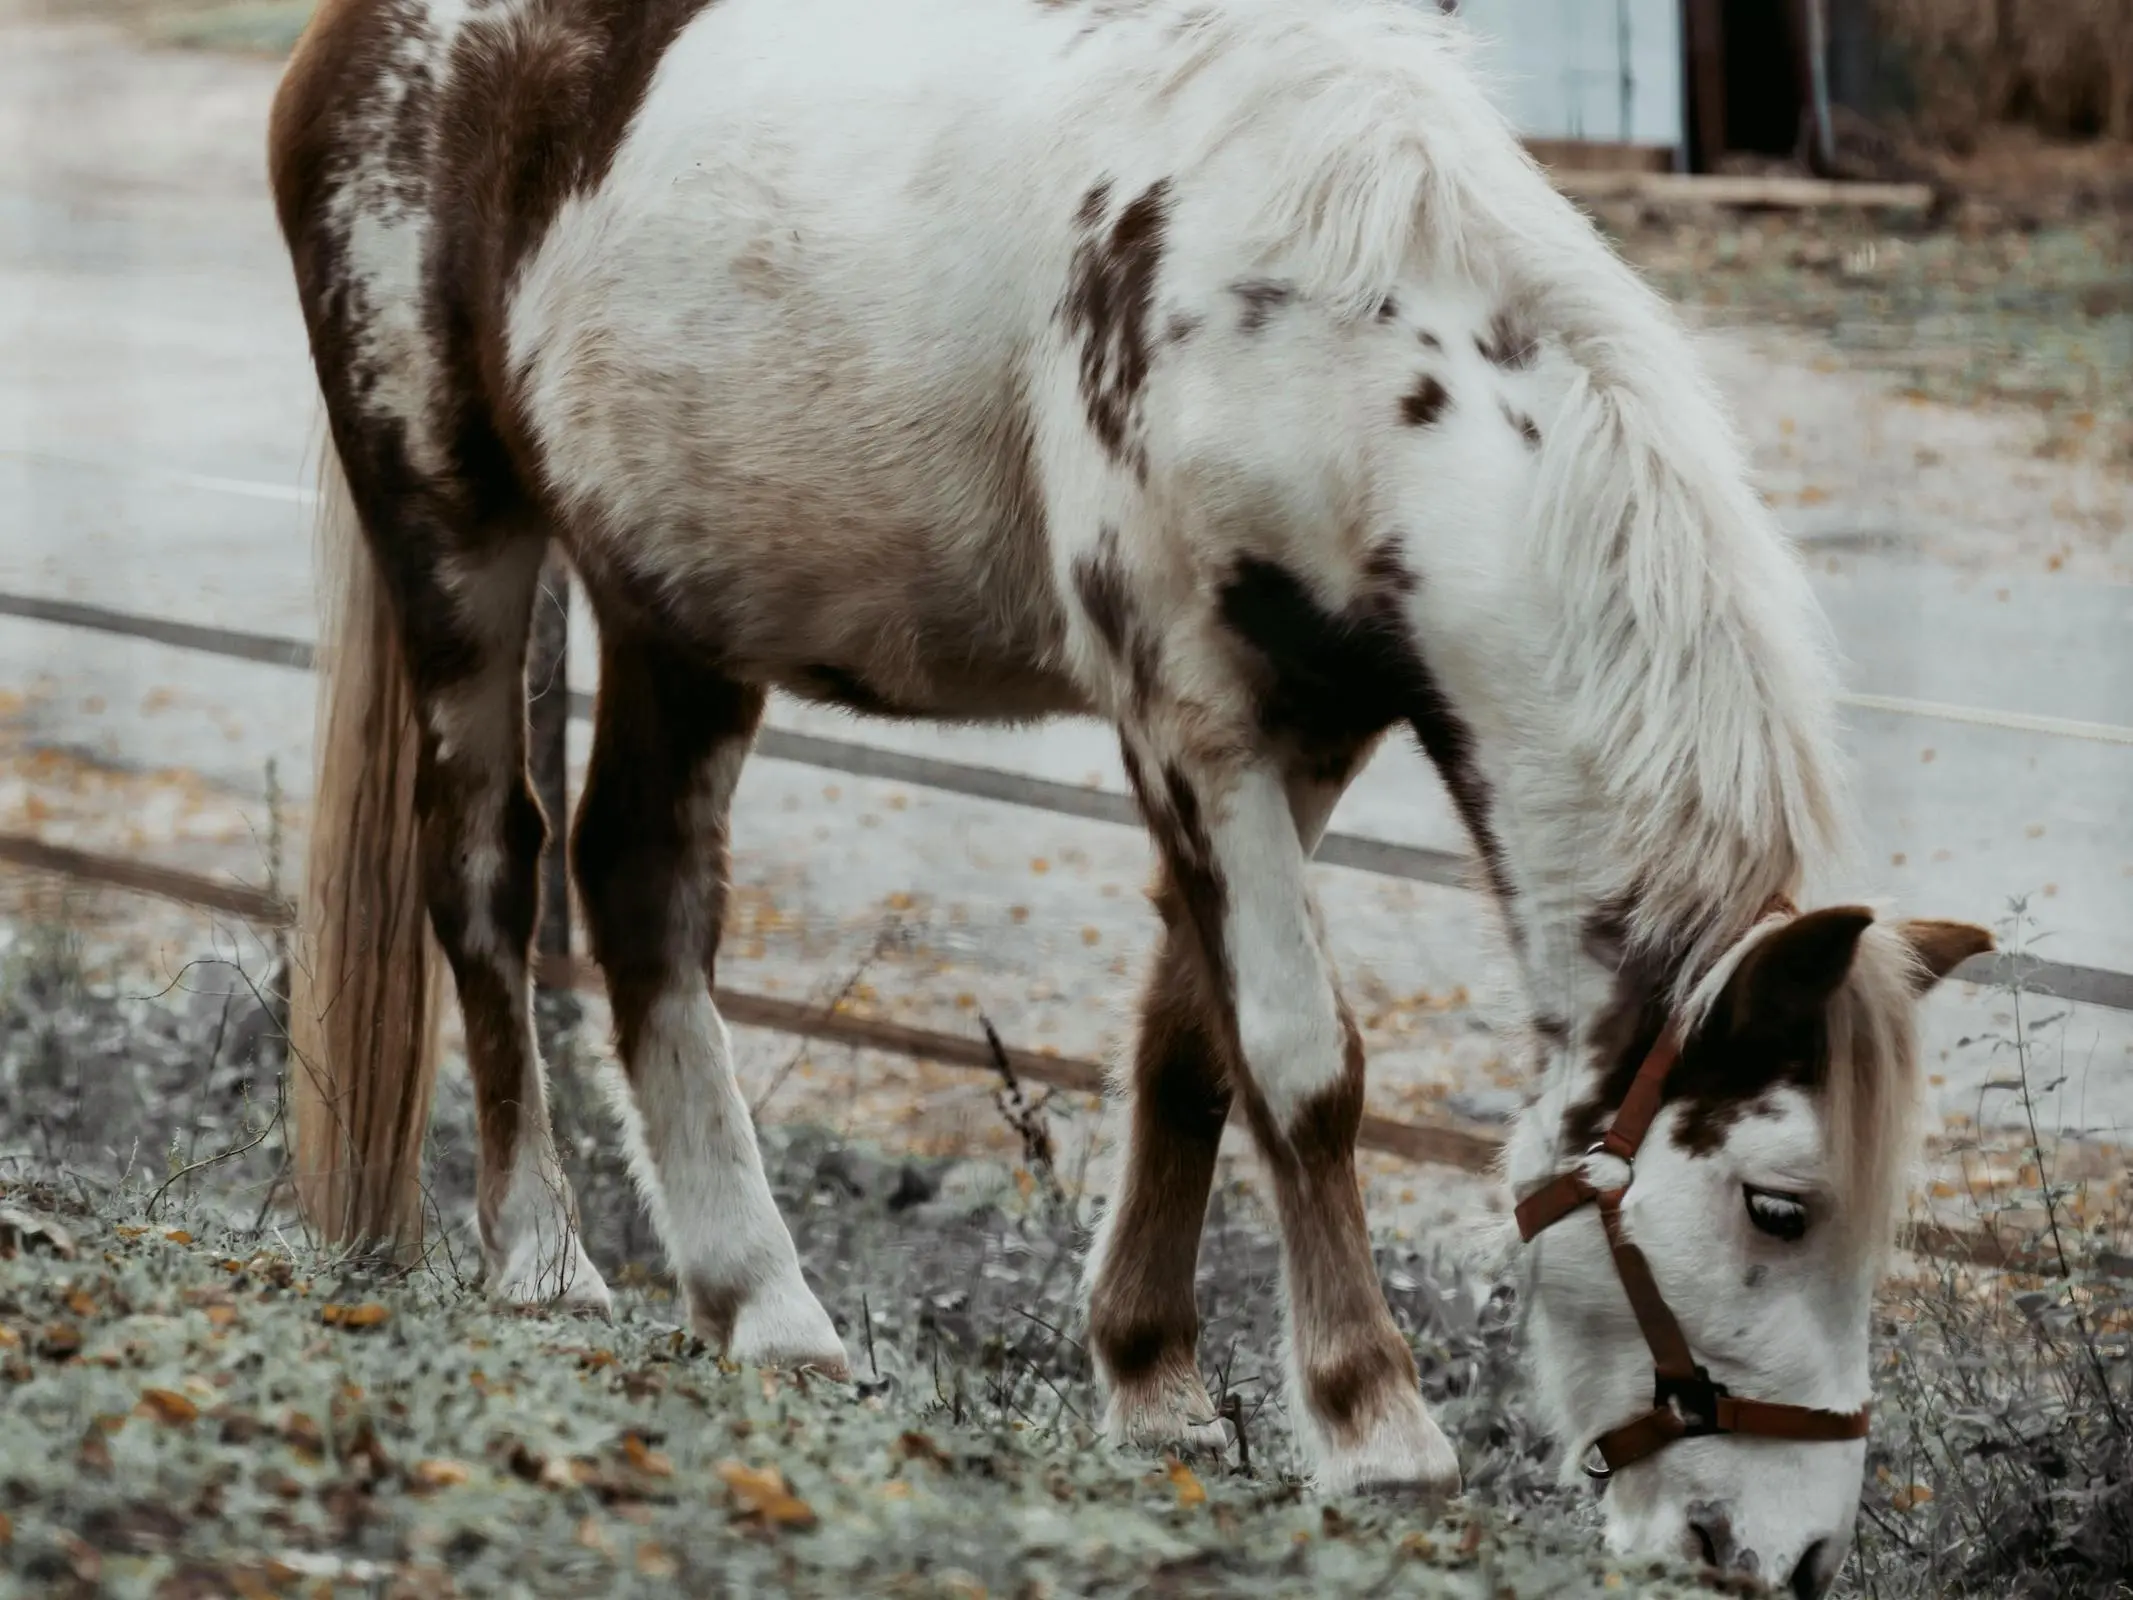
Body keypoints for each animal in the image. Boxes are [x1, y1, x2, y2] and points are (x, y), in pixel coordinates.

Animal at [270, 0, 1996, 1587]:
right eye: (1778, 1206)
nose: (1788, 1556)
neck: (1326, 321)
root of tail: (355, 42)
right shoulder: (1191, 716)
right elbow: (1300, 1064)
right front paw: (1374, 1427)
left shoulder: (1304, 734)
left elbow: (1189, 1046)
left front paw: (1153, 1379)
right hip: (454, 529)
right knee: (487, 877)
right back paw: (542, 1257)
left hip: (679, 609)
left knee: (640, 896)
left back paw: (764, 1308)